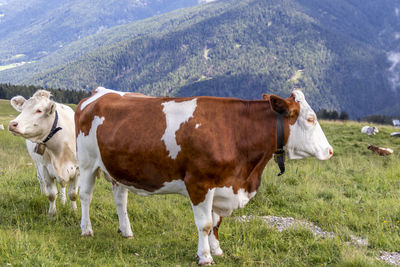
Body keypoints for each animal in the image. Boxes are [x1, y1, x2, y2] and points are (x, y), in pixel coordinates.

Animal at [74, 87, 332, 266]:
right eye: (310, 119)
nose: (330, 151)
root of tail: (100, 92)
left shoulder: (222, 185)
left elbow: (217, 222)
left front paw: (217, 249)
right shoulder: (199, 183)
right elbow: (205, 223)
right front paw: (205, 256)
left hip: (117, 167)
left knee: (121, 200)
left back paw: (126, 231)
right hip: (87, 163)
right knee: (85, 196)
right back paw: (86, 229)